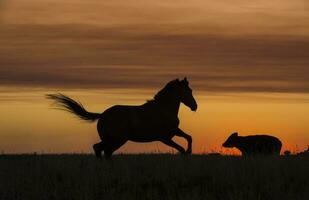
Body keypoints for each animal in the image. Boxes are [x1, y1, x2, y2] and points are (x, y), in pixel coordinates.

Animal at [47, 77, 197, 159]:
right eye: (188, 91)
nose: (194, 106)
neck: (162, 109)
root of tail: (102, 115)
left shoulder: (174, 131)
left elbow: (189, 137)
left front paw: (189, 152)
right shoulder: (165, 138)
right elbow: (181, 148)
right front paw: (187, 153)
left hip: (111, 139)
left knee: (99, 149)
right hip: (118, 139)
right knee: (105, 151)